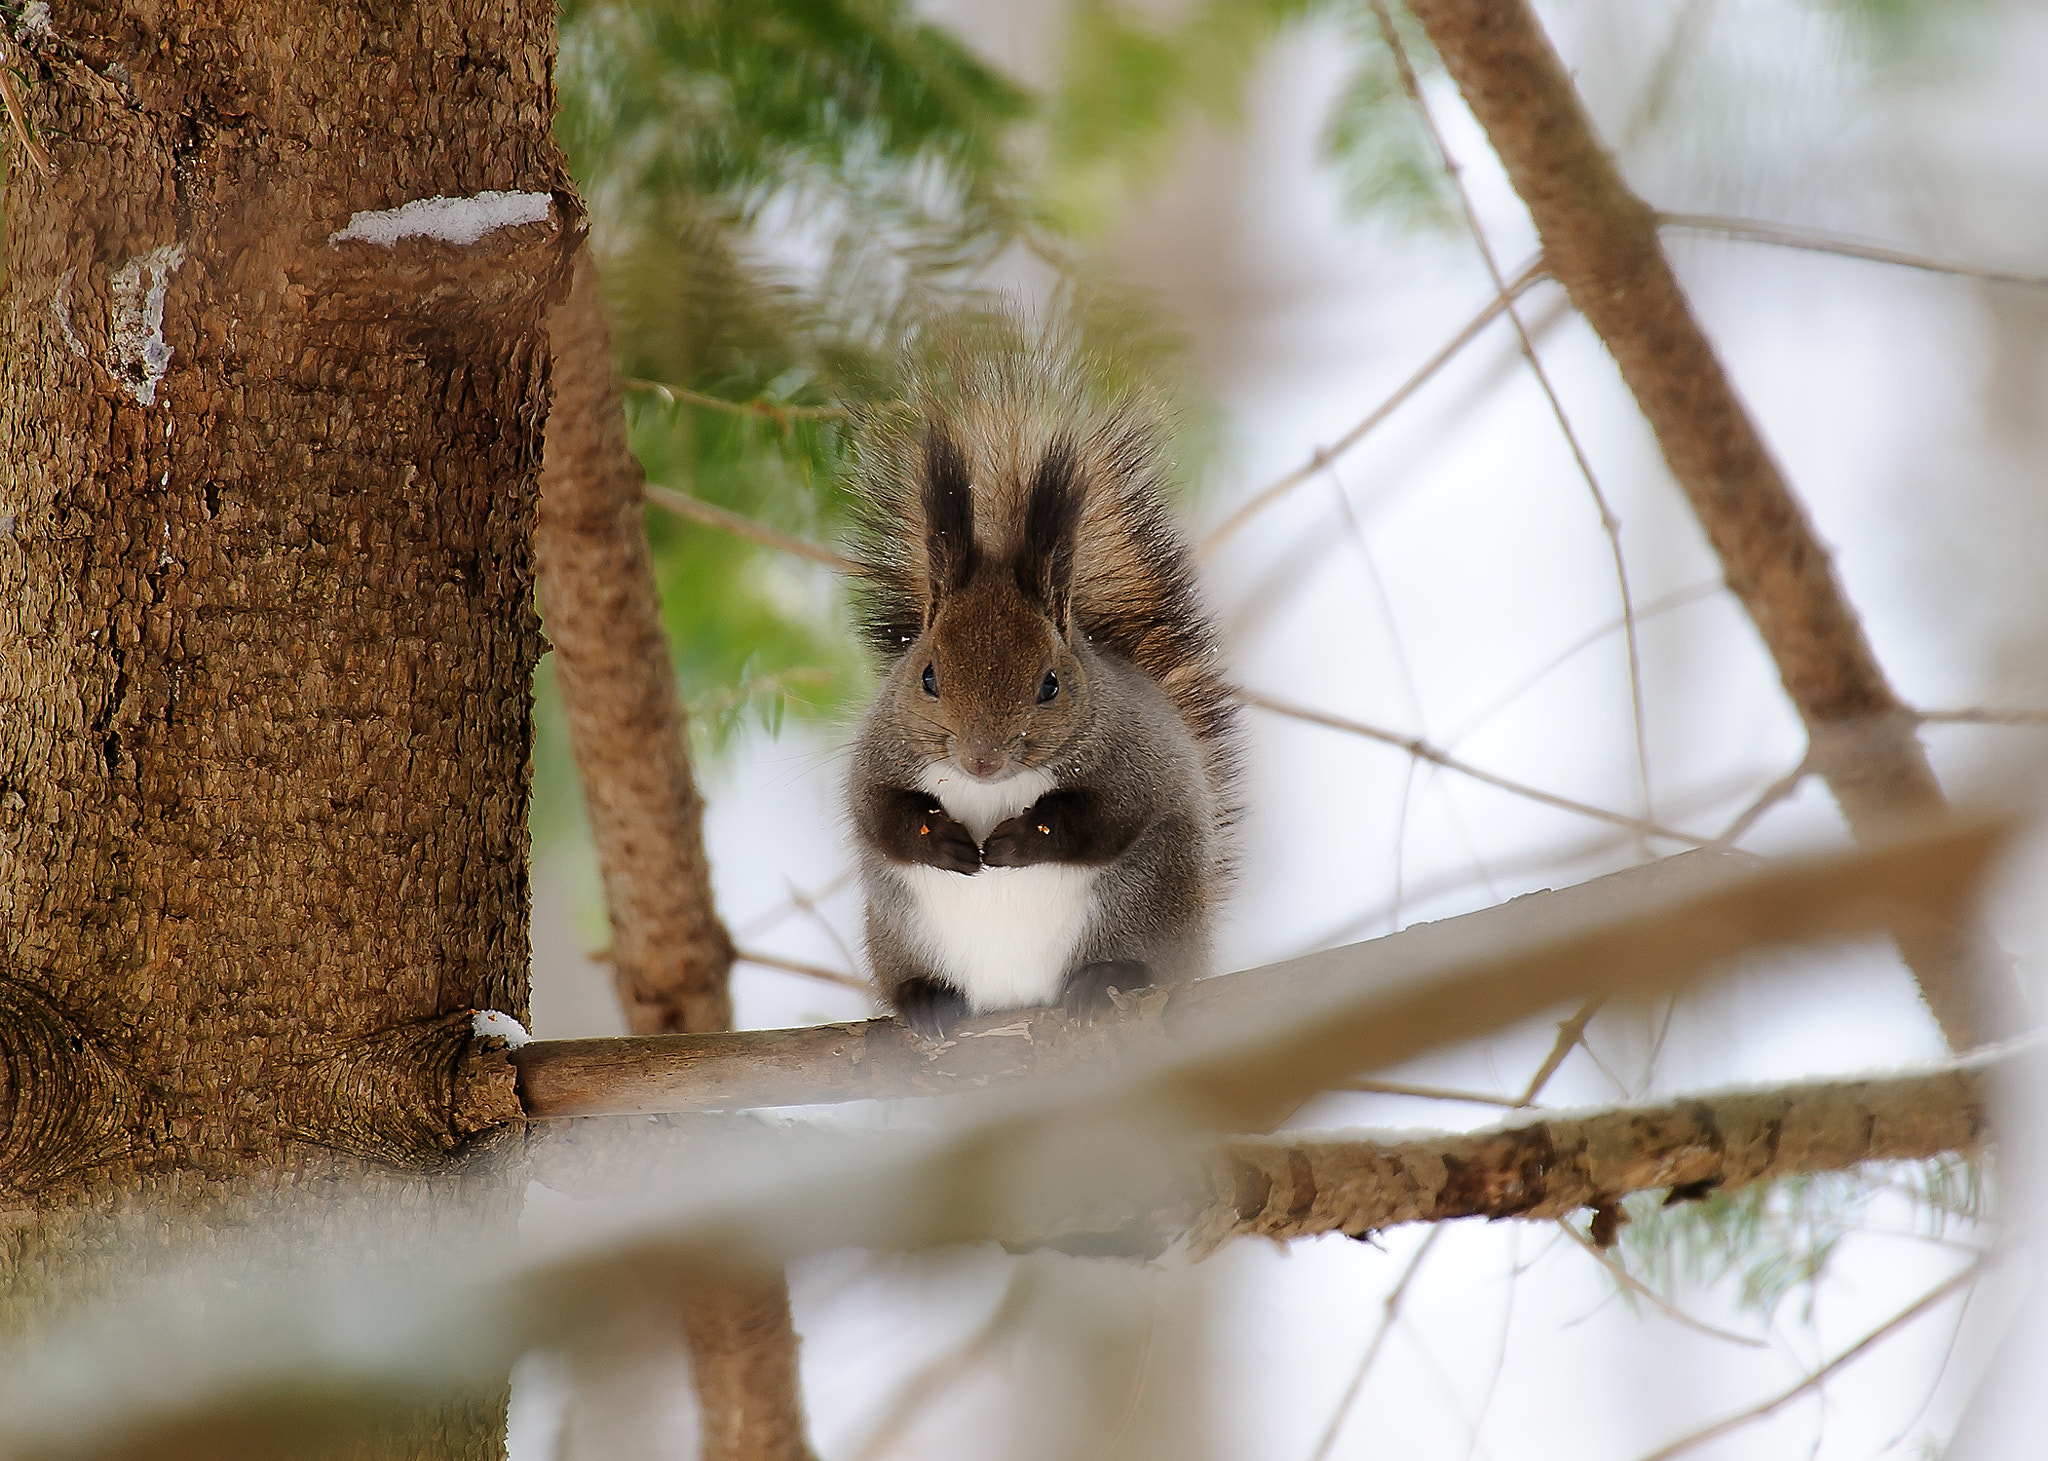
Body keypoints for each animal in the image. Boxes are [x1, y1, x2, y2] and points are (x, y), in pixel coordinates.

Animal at [843, 329, 1236, 1036]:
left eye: (1051, 684)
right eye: (927, 676)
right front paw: (939, 836)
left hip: (1148, 903)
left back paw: (1110, 977)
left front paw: (1025, 837)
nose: (981, 760)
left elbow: (1108, 816)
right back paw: (925, 997)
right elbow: (875, 811)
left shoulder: (1138, 756)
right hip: (898, 929)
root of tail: (1014, 996)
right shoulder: (877, 750)